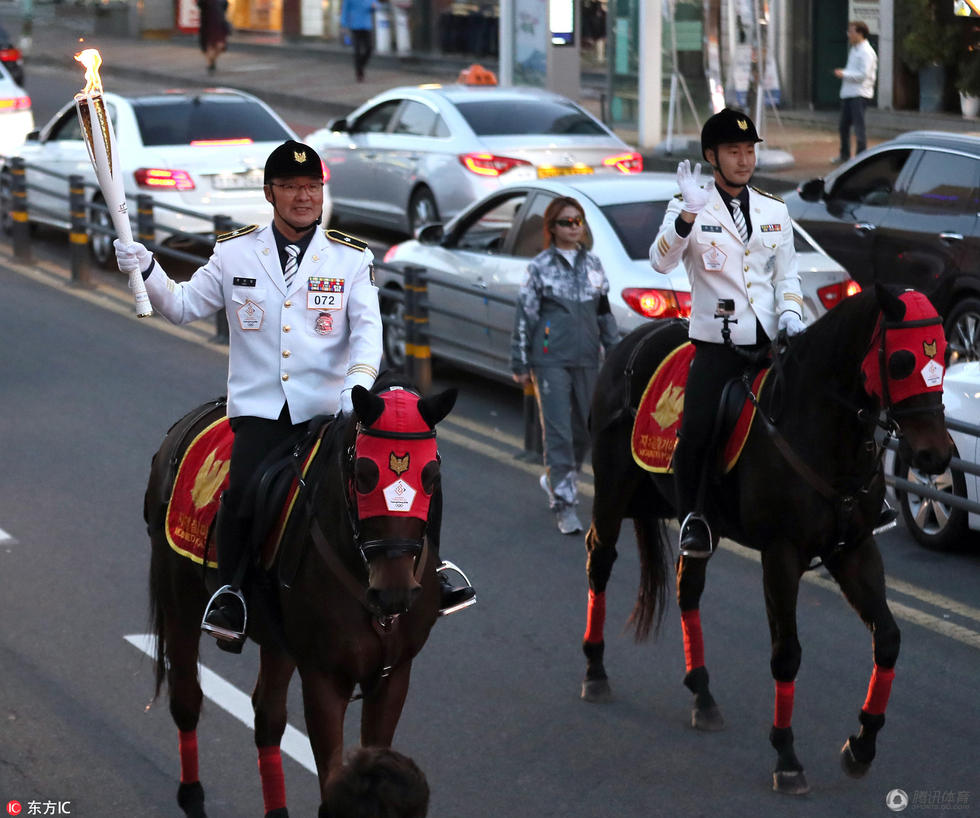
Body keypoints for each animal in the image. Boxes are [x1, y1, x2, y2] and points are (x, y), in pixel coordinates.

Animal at [146, 380, 460, 812]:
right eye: (364, 474)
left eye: (432, 474)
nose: (395, 592)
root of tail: (194, 418)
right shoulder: (324, 678)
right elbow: (333, 789)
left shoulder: (394, 675)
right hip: (180, 601)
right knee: (187, 698)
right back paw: (192, 797)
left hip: (279, 641)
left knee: (267, 719)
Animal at [580, 286, 948, 792]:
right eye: (902, 361)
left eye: (945, 353)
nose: (938, 456)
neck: (817, 428)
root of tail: (634, 338)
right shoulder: (781, 555)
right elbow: (786, 654)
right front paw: (787, 756)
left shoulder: (855, 550)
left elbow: (888, 637)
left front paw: (862, 743)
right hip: (613, 489)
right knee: (600, 560)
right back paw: (595, 670)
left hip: (697, 522)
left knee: (687, 587)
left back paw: (703, 695)